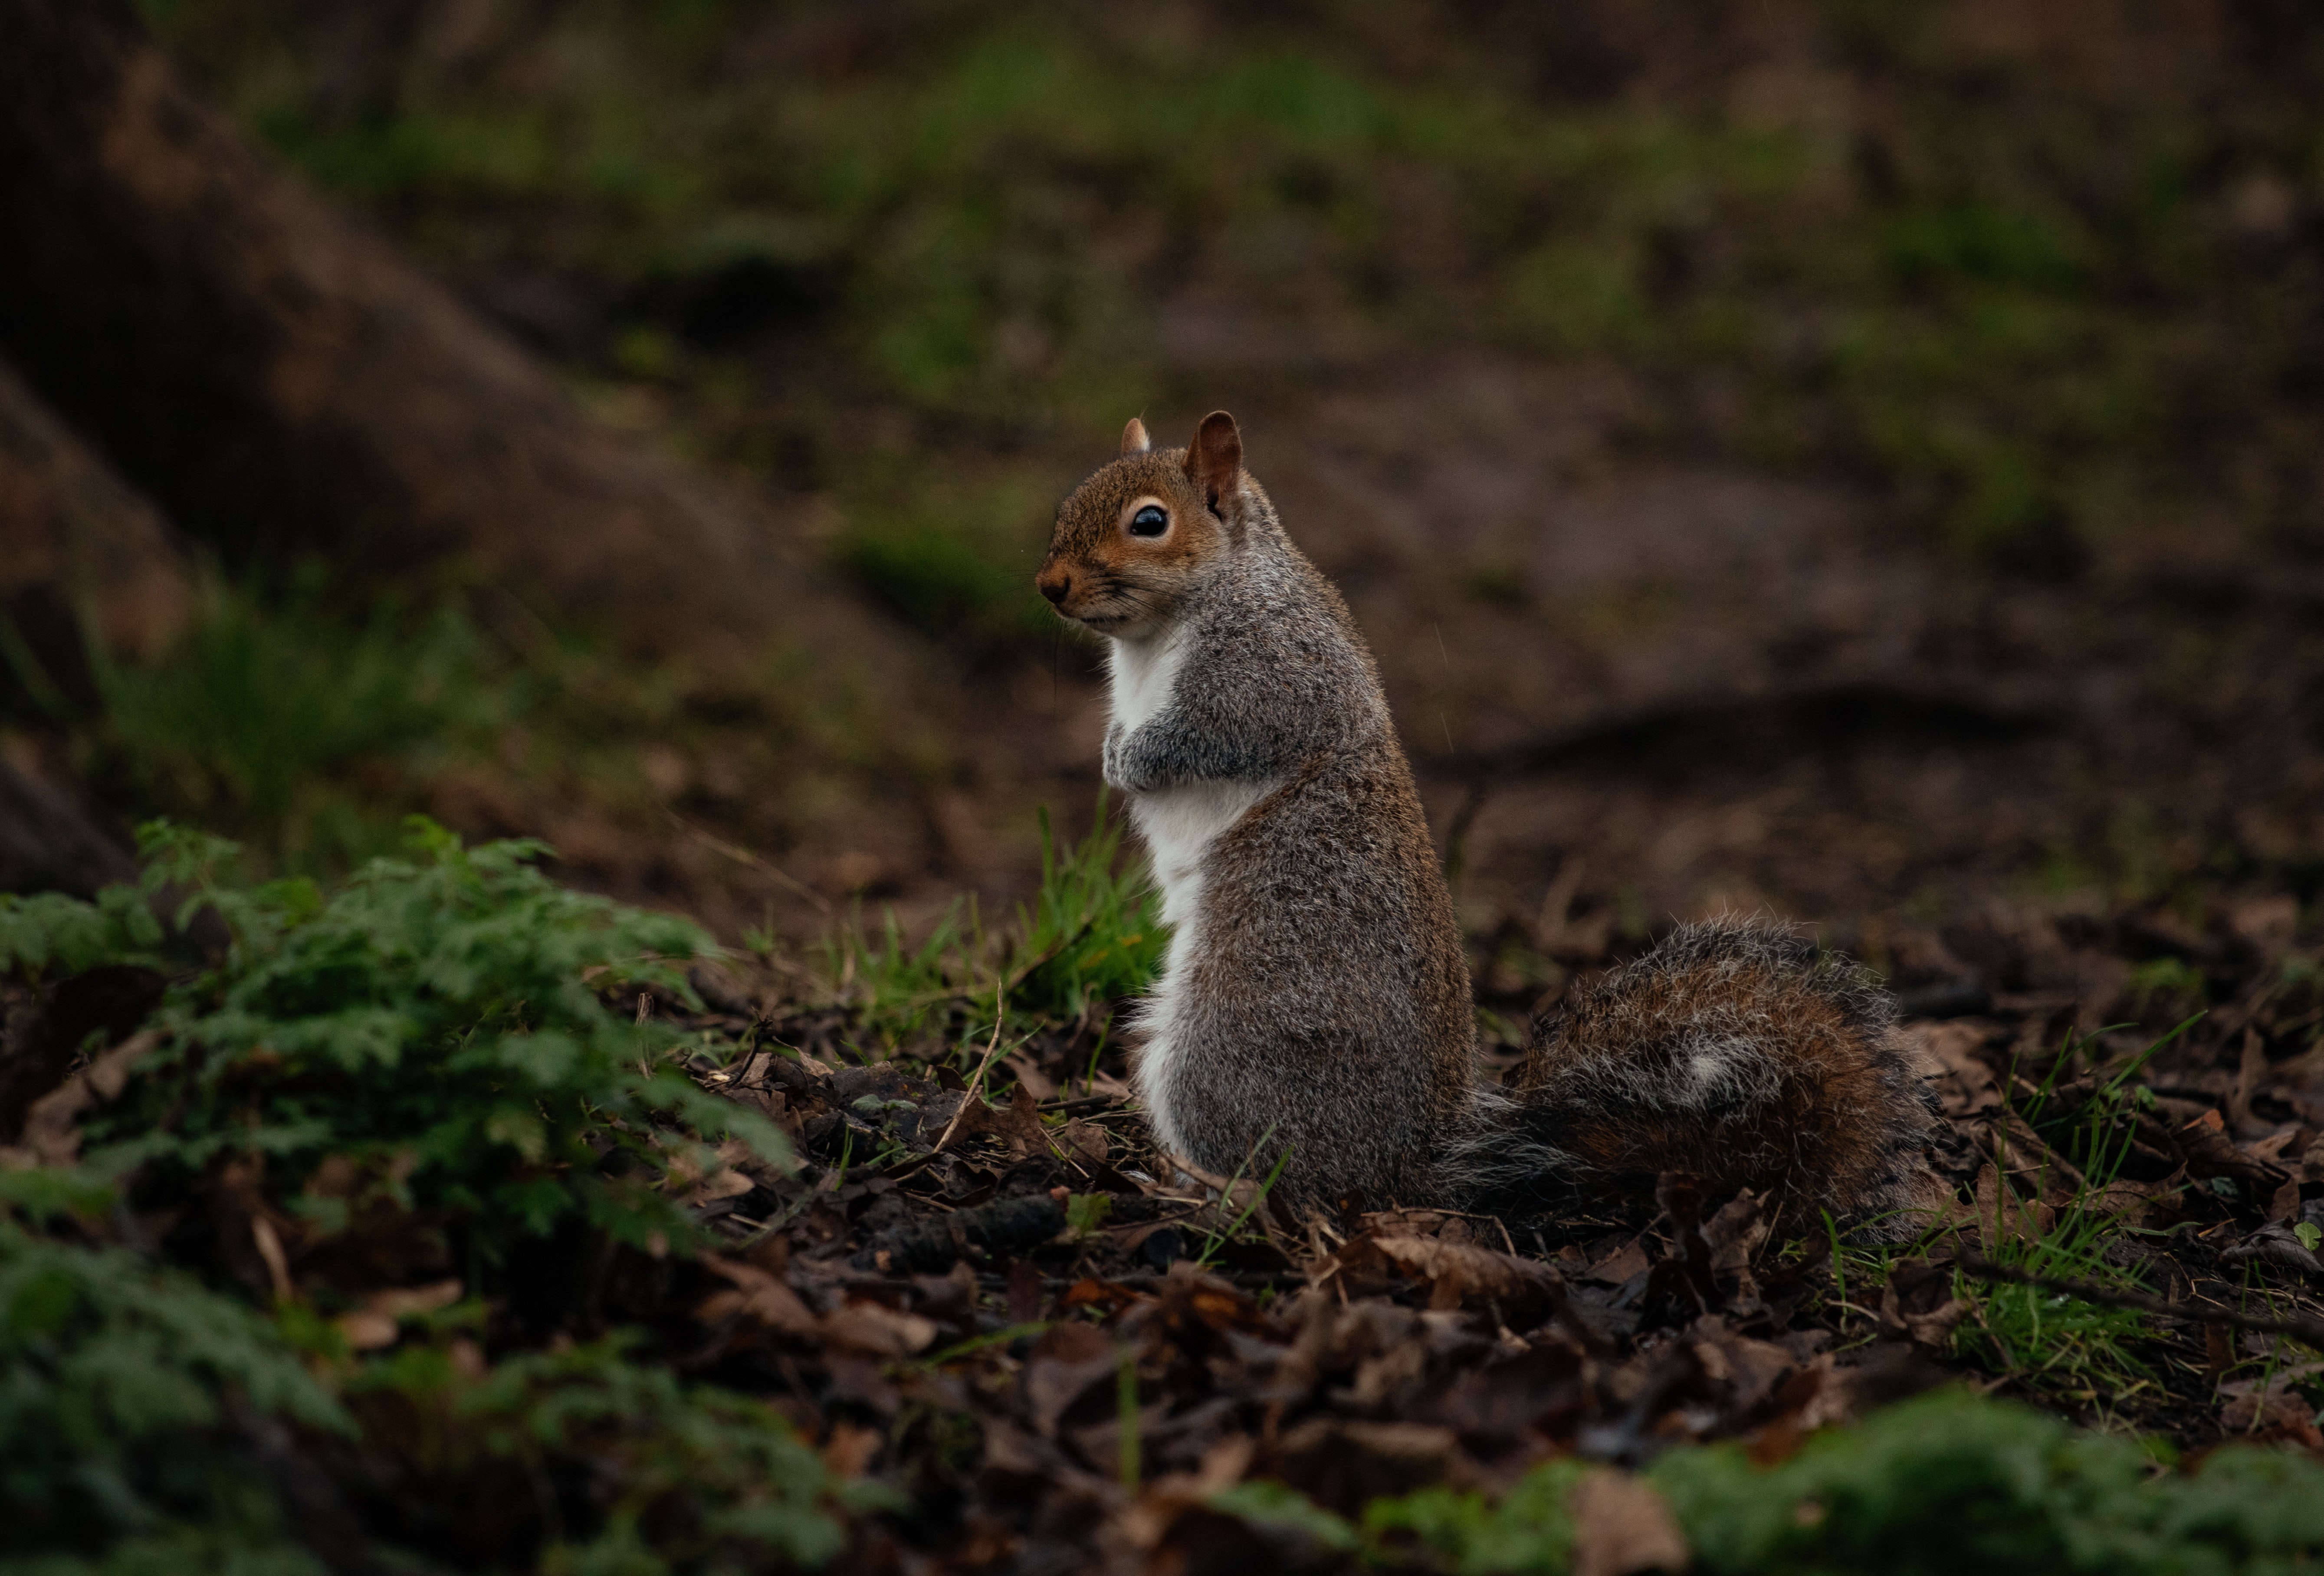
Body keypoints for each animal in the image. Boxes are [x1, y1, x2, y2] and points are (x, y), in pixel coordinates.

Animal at [1036, 411, 1943, 1236]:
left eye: (1149, 522)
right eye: (1070, 499)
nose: (1050, 585)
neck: (1162, 635)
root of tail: (1408, 1167)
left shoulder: (1273, 673)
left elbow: (1224, 732)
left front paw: (1133, 758)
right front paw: (1112, 747)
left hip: (1227, 1041)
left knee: (1285, 1175)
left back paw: (1202, 1192)